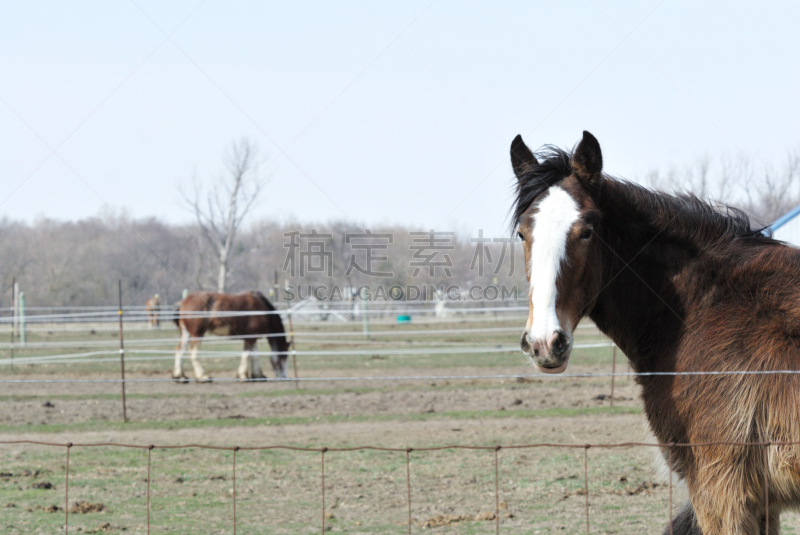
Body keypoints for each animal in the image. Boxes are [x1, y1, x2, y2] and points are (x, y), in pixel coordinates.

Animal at [512, 131, 800, 535]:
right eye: (523, 233)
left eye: (586, 232)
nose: (544, 343)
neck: (703, 307)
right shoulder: (762, 503)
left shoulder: (724, 496)